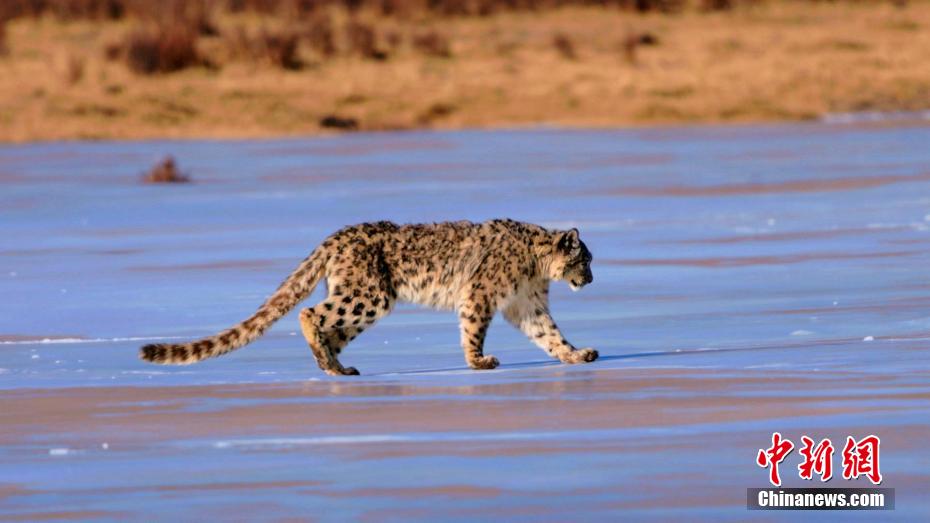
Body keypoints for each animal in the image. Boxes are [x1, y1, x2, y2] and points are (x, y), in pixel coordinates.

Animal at [140, 219, 597, 376]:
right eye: (586, 259)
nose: (591, 279)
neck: (535, 268)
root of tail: (334, 237)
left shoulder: (528, 304)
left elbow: (550, 335)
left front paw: (577, 354)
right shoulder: (480, 296)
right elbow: (473, 331)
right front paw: (478, 361)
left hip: (364, 303)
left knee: (332, 330)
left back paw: (337, 367)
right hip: (368, 296)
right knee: (310, 313)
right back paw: (329, 363)